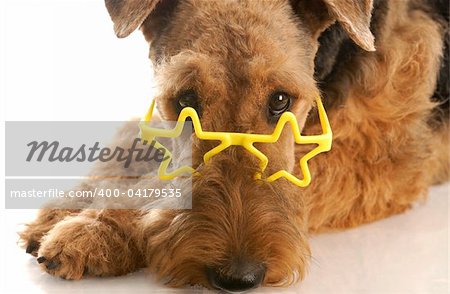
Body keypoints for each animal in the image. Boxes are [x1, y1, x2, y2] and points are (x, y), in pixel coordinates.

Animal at [19, 0, 448, 292]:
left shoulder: (381, 157)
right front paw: (66, 211)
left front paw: (95, 232)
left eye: (281, 99)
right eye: (186, 99)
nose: (238, 278)